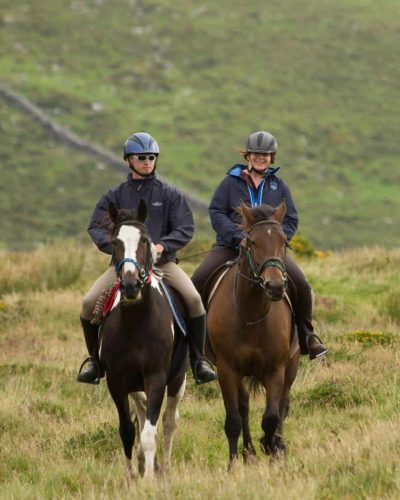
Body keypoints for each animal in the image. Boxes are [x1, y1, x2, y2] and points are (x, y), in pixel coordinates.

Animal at [208, 201, 298, 466]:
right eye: (253, 242)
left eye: (283, 241)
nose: (275, 286)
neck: (251, 314)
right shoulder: (227, 370)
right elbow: (233, 420)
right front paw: (233, 464)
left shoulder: (275, 369)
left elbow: (271, 417)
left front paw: (271, 447)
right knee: (244, 406)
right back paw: (248, 453)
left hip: (292, 365)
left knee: (283, 406)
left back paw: (277, 445)